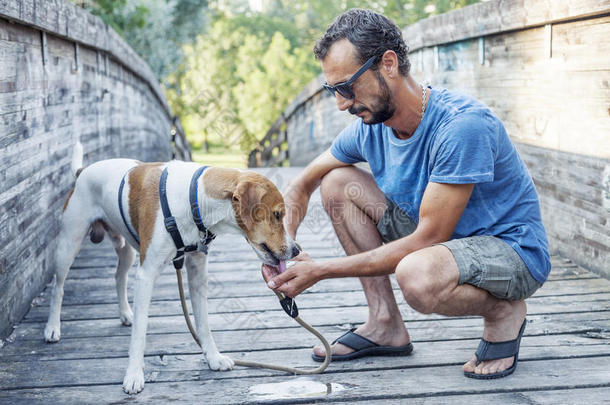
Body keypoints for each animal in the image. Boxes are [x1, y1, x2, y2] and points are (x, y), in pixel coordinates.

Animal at [43, 155, 300, 392]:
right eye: (277, 215)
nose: (297, 250)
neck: (194, 199)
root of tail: (83, 170)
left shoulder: (197, 273)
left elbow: (203, 324)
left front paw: (213, 357)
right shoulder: (146, 276)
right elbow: (140, 332)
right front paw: (133, 374)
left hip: (126, 251)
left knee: (118, 277)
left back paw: (125, 313)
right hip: (69, 244)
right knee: (58, 287)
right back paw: (52, 327)